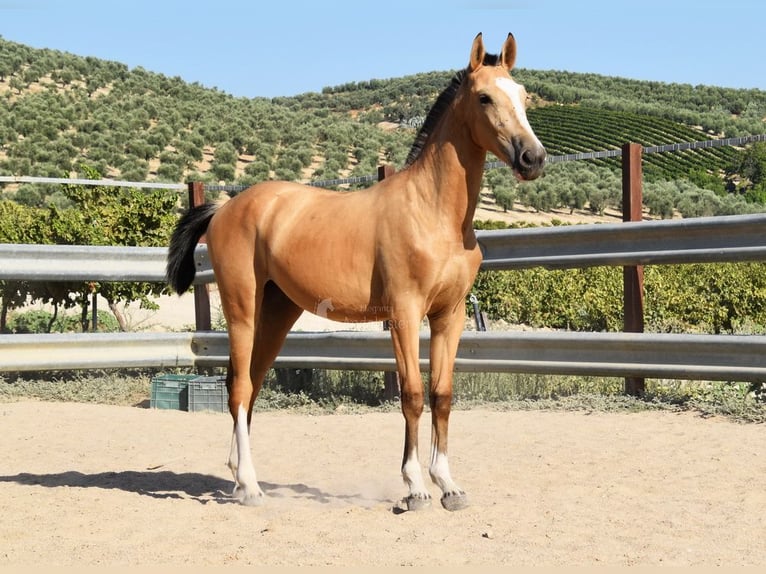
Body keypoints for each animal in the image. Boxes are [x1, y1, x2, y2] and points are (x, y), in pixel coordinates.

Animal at [167, 33, 544, 512]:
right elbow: (412, 395)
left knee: (249, 386)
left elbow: (441, 395)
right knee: (237, 389)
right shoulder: (404, 314)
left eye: (523, 96)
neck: (432, 212)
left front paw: (449, 486)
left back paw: (238, 478)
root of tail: (225, 207)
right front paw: (416, 488)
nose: (533, 158)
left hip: (277, 314)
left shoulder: (450, 315)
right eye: (484, 97)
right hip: (242, 312)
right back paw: (250, 488)